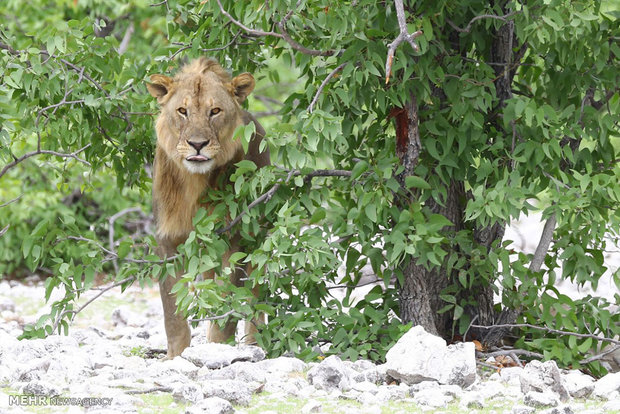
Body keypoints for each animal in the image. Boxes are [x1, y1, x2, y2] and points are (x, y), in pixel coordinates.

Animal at [148, 56, 272, 358]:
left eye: (215, 111)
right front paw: (175, 357)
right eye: (182, 111)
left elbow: (227, 305)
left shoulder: (233, 237)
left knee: (255, 297)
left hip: (258, 238)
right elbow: (173, 312)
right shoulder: (167, 240)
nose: (197, 144)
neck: (194, 182)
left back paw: (254, 344)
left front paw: (217, 349)